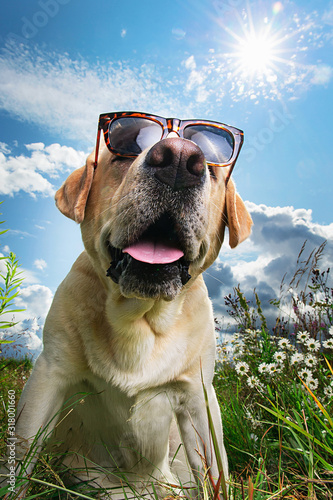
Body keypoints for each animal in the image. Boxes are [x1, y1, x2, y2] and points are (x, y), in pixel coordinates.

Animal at [5, 111, 250, 498]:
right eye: (123, 152)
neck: (140, 316)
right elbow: (22, 456)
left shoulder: (199, 399)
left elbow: (215, 475)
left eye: (211, 171)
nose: (180, 161)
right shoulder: (49, 376)